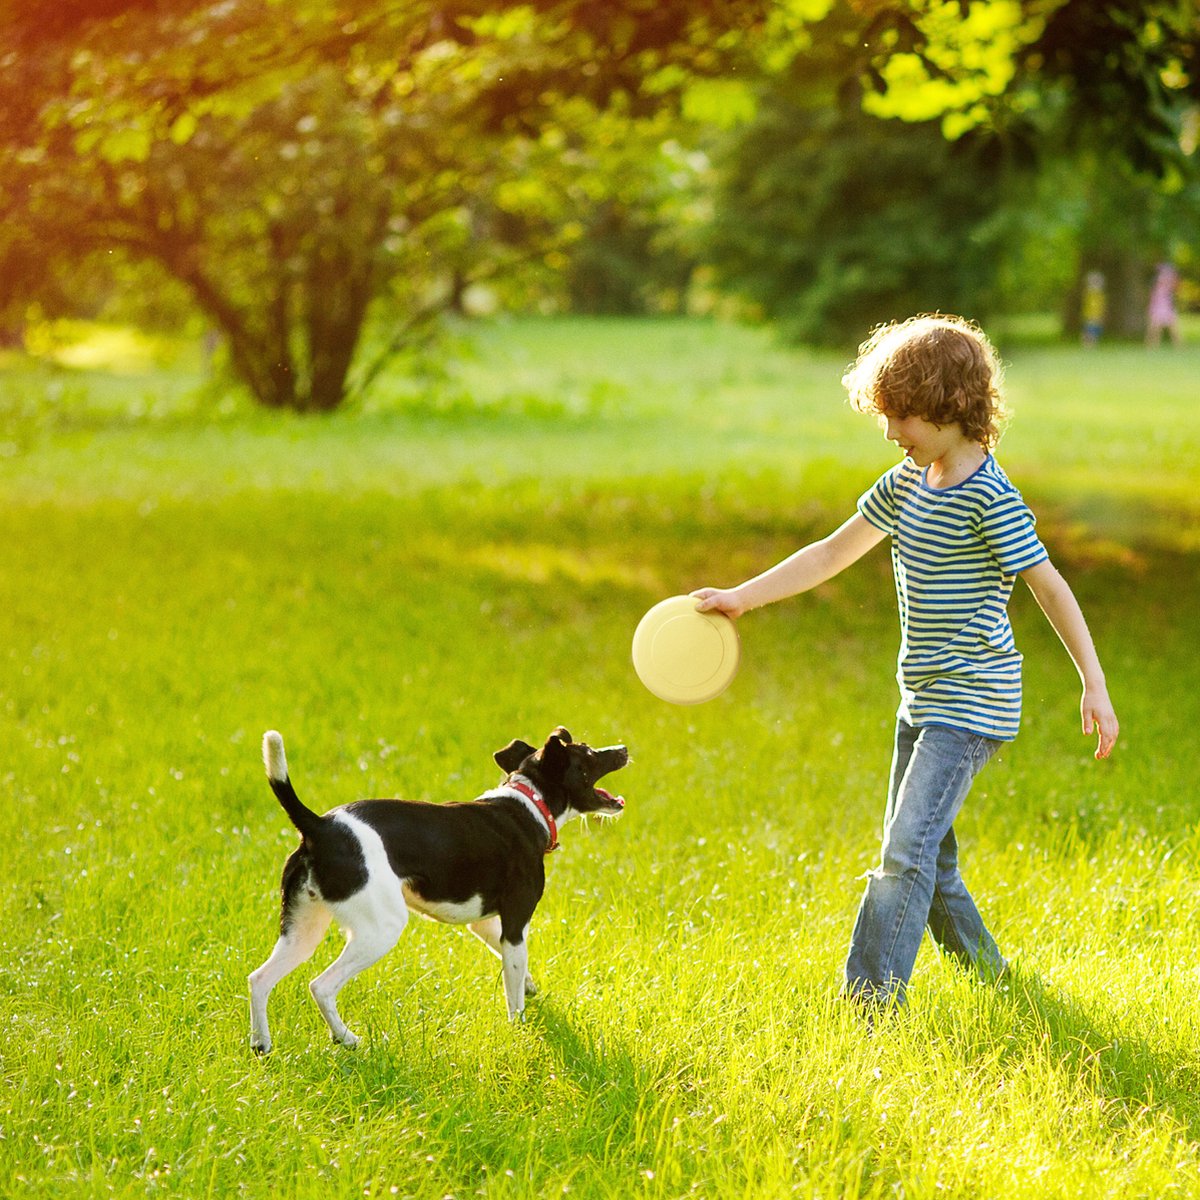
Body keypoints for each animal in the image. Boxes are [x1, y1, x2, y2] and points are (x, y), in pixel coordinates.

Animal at [244, 720, 628, 1051]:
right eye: (588, 754)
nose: (623, 748)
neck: (528, 806)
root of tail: (319, 826)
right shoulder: (516, 923)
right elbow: (514, 992)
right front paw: (519, 1029)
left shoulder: (486, 924)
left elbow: (516, 969)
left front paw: (530, 986)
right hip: (379, 930)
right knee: (321, 986)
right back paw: (347, 1039)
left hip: (302, 932)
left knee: (259, 979)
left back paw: (262, 1045)